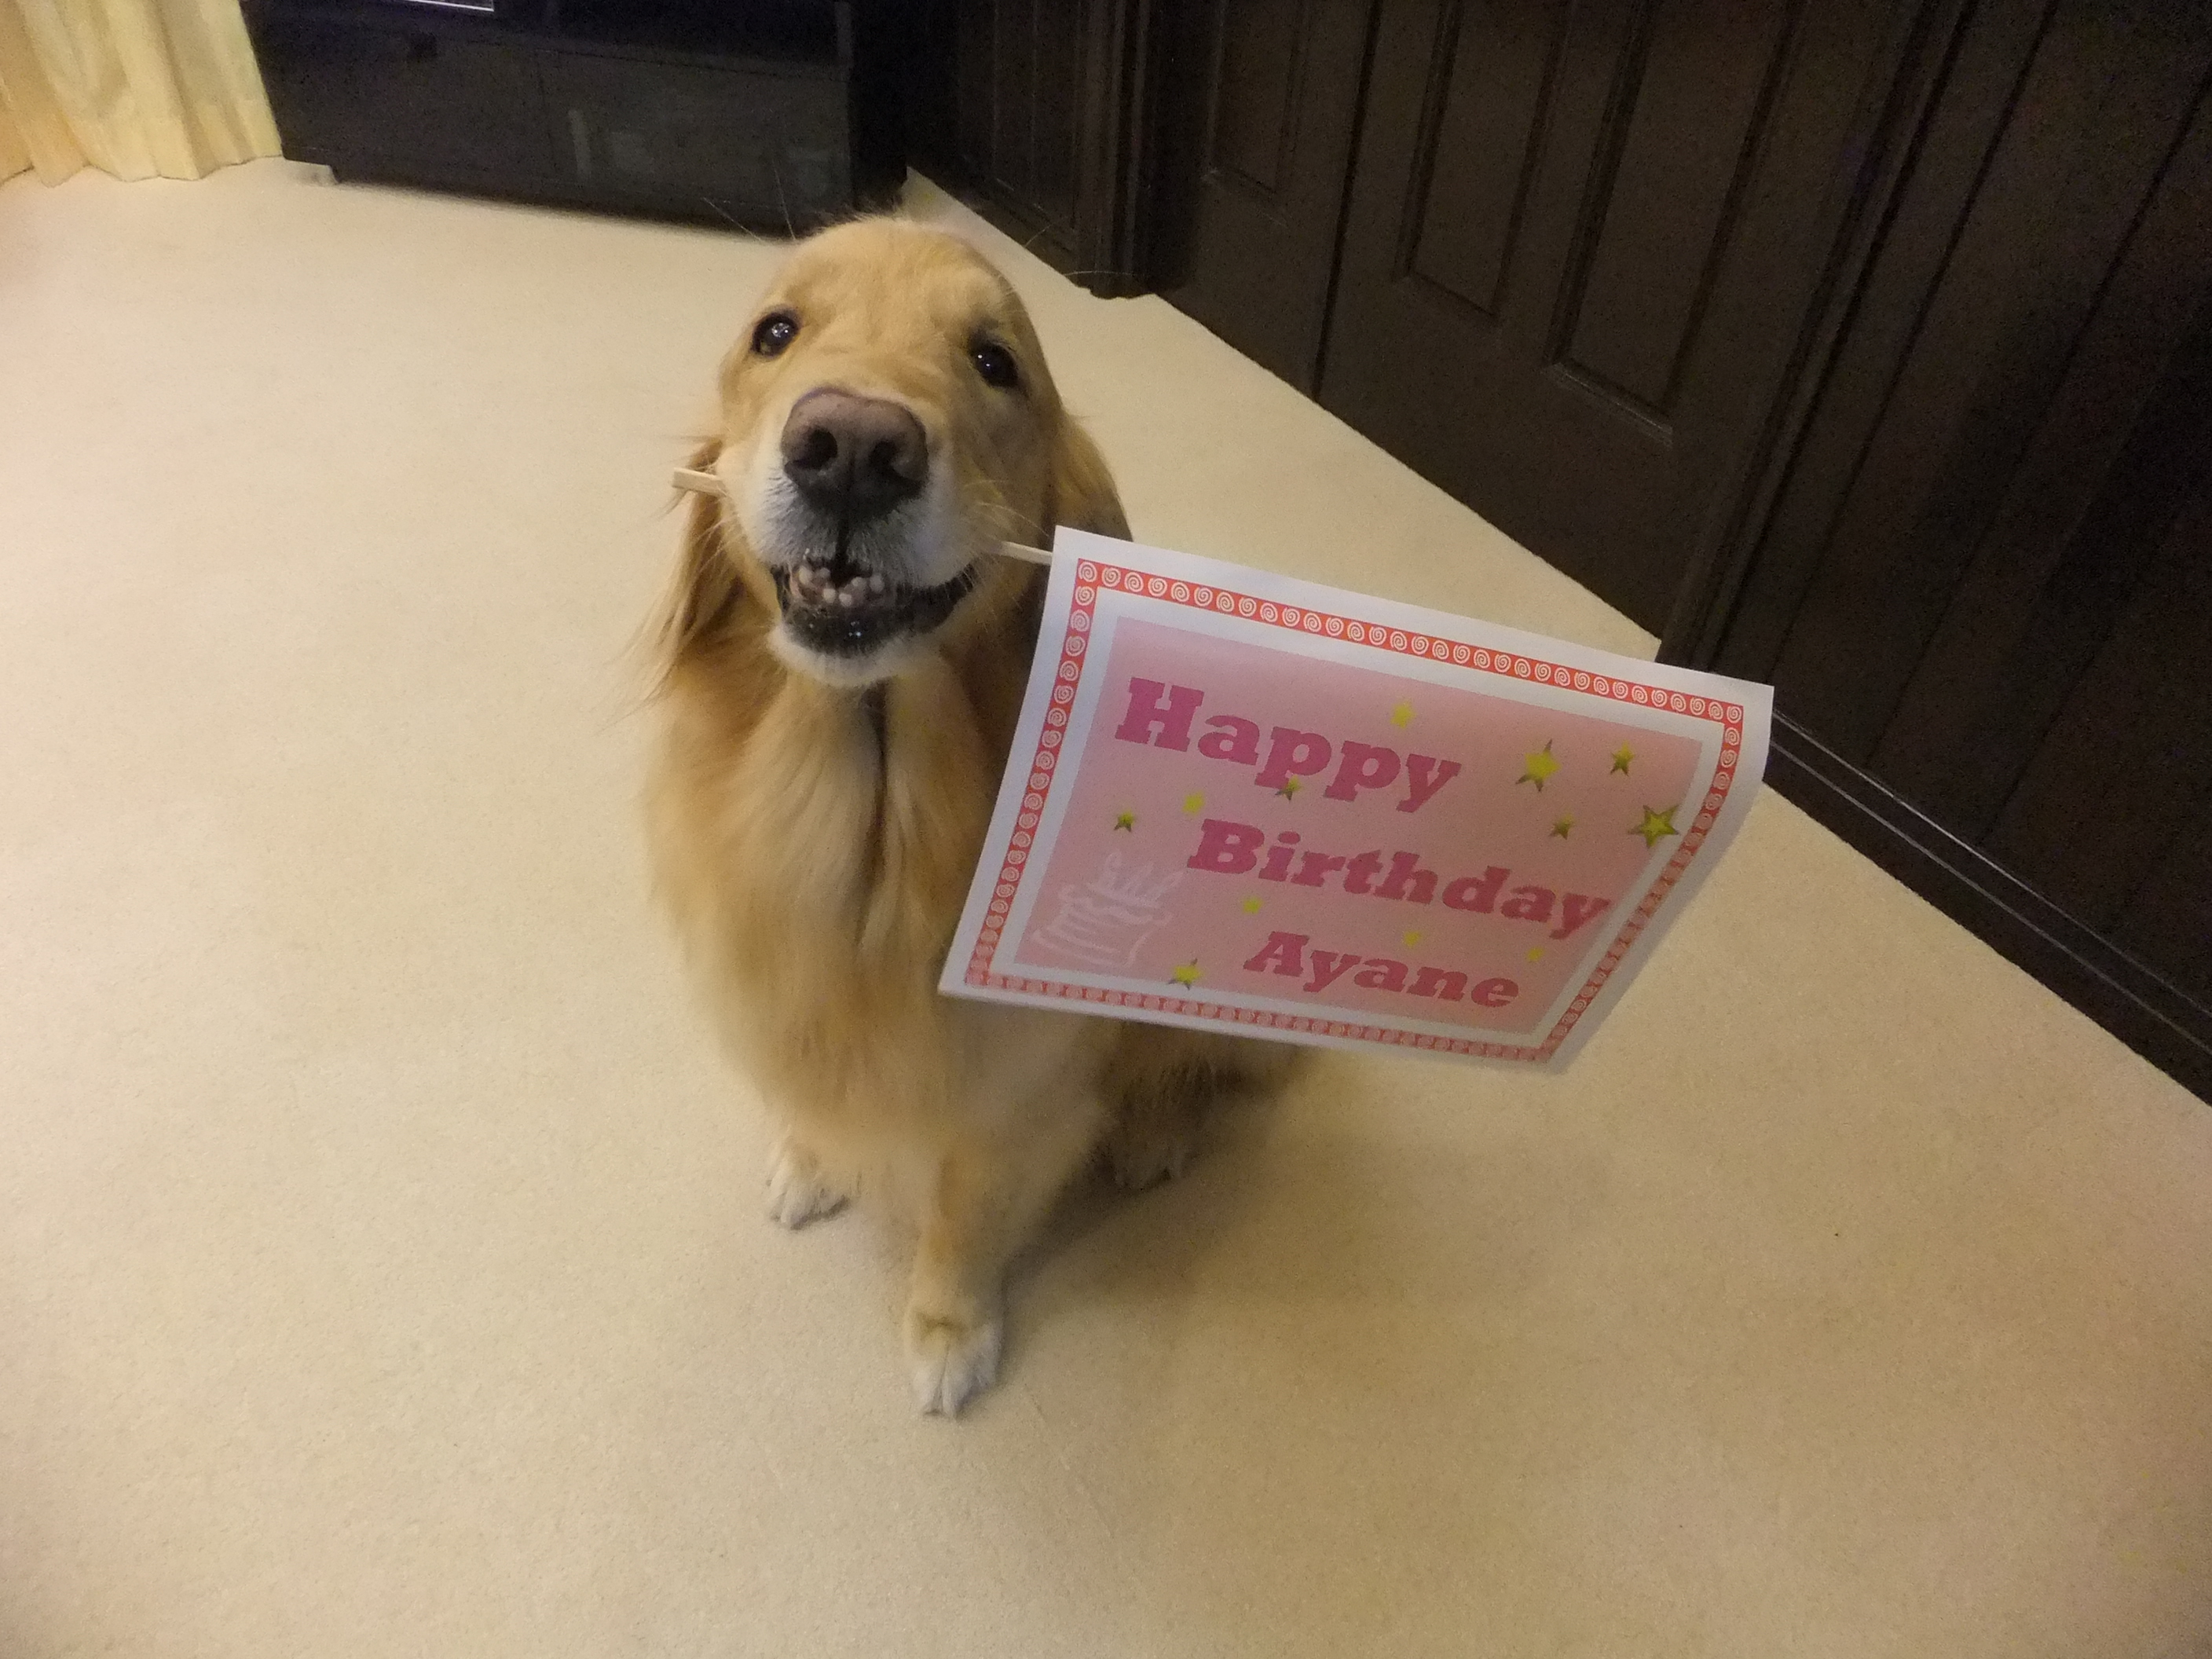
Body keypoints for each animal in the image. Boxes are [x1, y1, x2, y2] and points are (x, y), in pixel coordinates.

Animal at [646, 219, 1291, 1414]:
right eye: (775, 332)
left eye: (995, 363)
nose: (852, 448)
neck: (864, 827)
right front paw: (815, 1156)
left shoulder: (1017, 1093)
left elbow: (964, 1217)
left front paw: (949, 1329)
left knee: (1198, 1068)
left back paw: (1154, 1131)